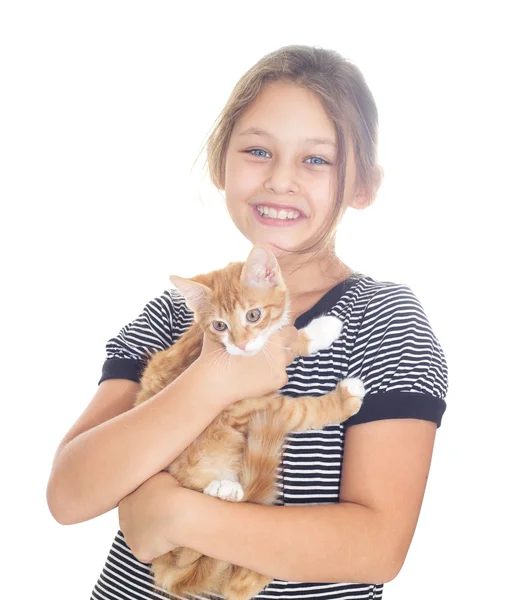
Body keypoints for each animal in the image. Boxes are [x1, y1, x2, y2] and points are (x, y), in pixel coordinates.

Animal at [135, 245, 364, 600]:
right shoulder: (242, 405)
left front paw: (318, 332)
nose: (241, 345)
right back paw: (222, 488)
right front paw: (343, 399)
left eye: (253, 316)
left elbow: (287, 338)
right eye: (219, 325)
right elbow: (298, 411)